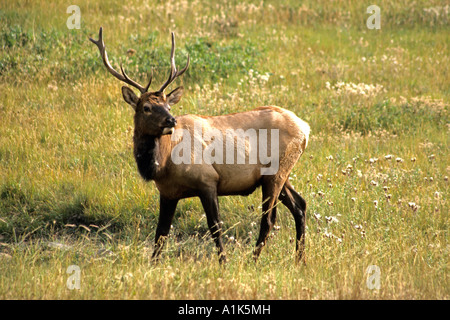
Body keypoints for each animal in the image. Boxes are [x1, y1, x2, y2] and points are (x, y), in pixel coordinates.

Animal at [90, 26, 312, 262]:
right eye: (146, 107)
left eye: (168, 105)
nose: (171, 120)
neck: (163, 164)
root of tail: (305, 128)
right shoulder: (168, 192)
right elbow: (161, 233)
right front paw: (153, 263)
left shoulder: (207, 180)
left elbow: (215, 227)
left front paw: (223, 262)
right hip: (279, 174)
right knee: (300, 205)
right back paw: (299, 259)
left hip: (275, 172)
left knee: (269, 219)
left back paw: (253, 260)